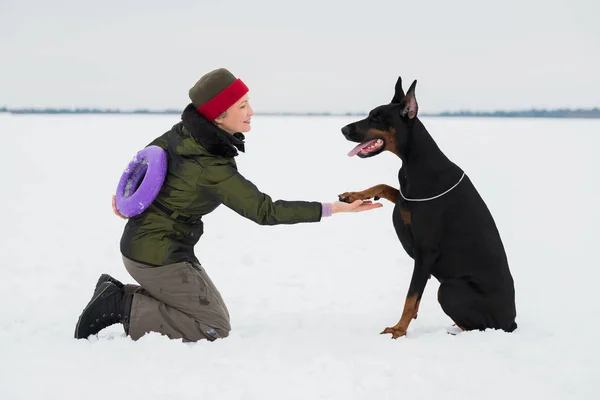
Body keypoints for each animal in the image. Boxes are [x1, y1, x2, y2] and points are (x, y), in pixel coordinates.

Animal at [340, 76, 516, 338]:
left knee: (478, 327)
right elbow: (384, 186)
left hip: (451, 288)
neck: (414, 162)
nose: (343, 129)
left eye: (376, 117)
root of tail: (512, 322)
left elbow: (411, 297)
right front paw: (354, 195)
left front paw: (398, 330)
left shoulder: (426, 252)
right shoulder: (405, 199)